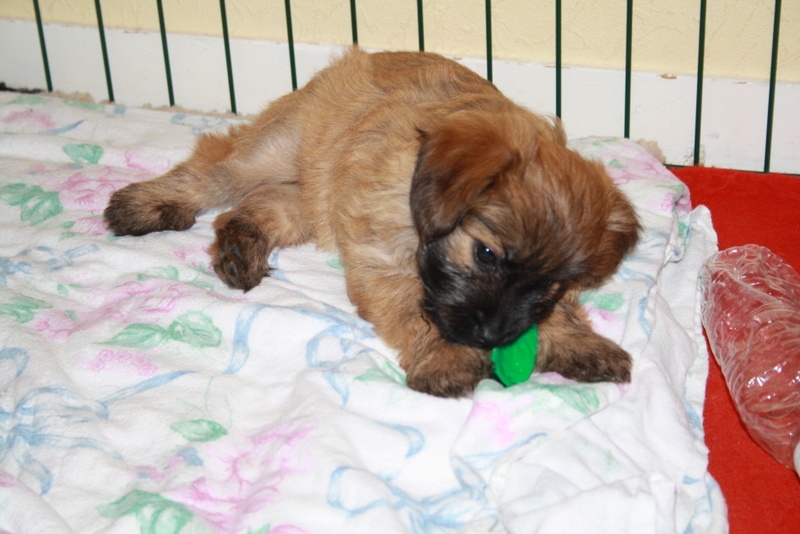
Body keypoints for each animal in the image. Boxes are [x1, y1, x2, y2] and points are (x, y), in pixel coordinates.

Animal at [104, 48, 640, 397]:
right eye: (485, 255)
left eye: (550, 285)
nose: (490, 337)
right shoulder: (380, 263)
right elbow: (412, 309)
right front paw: (446, 357)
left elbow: (558, 312)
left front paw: (577, 342)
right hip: (273, 151)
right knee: (209, 171)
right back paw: (145, 204)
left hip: (314, 193)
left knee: (263, 204)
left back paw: (240, 244)